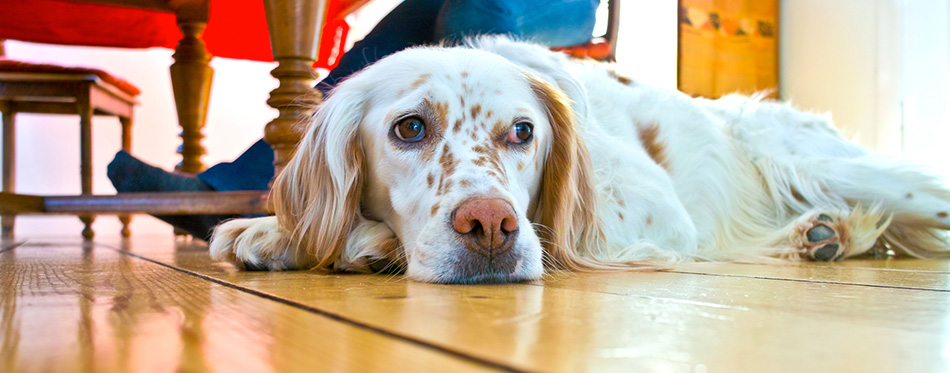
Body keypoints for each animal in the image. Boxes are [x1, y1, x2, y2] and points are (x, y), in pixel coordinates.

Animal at [210, 37, 950, 282]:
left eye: (522, 132)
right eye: (410, 127)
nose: (490, 228)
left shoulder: (659, 210)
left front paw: (364, 240)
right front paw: (274, 231)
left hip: (827, 164)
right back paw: (824, 233)